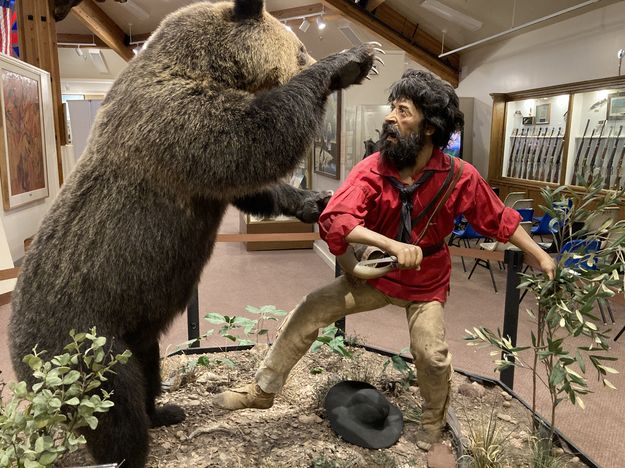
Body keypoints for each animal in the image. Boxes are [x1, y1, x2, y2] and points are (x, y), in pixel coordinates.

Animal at [11, 0, 376, 468]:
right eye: (300, 48)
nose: (310, 54)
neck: (210, 67)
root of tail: (21, 357)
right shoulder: (172, 121)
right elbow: (250, 138)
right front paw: (348, 61)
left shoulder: (197, 164)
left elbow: (251, 186)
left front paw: (312, 198)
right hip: (83, 342)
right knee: (114, 406)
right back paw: (134, 445)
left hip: (133, 332)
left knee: (147, 366)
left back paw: (166, 409)